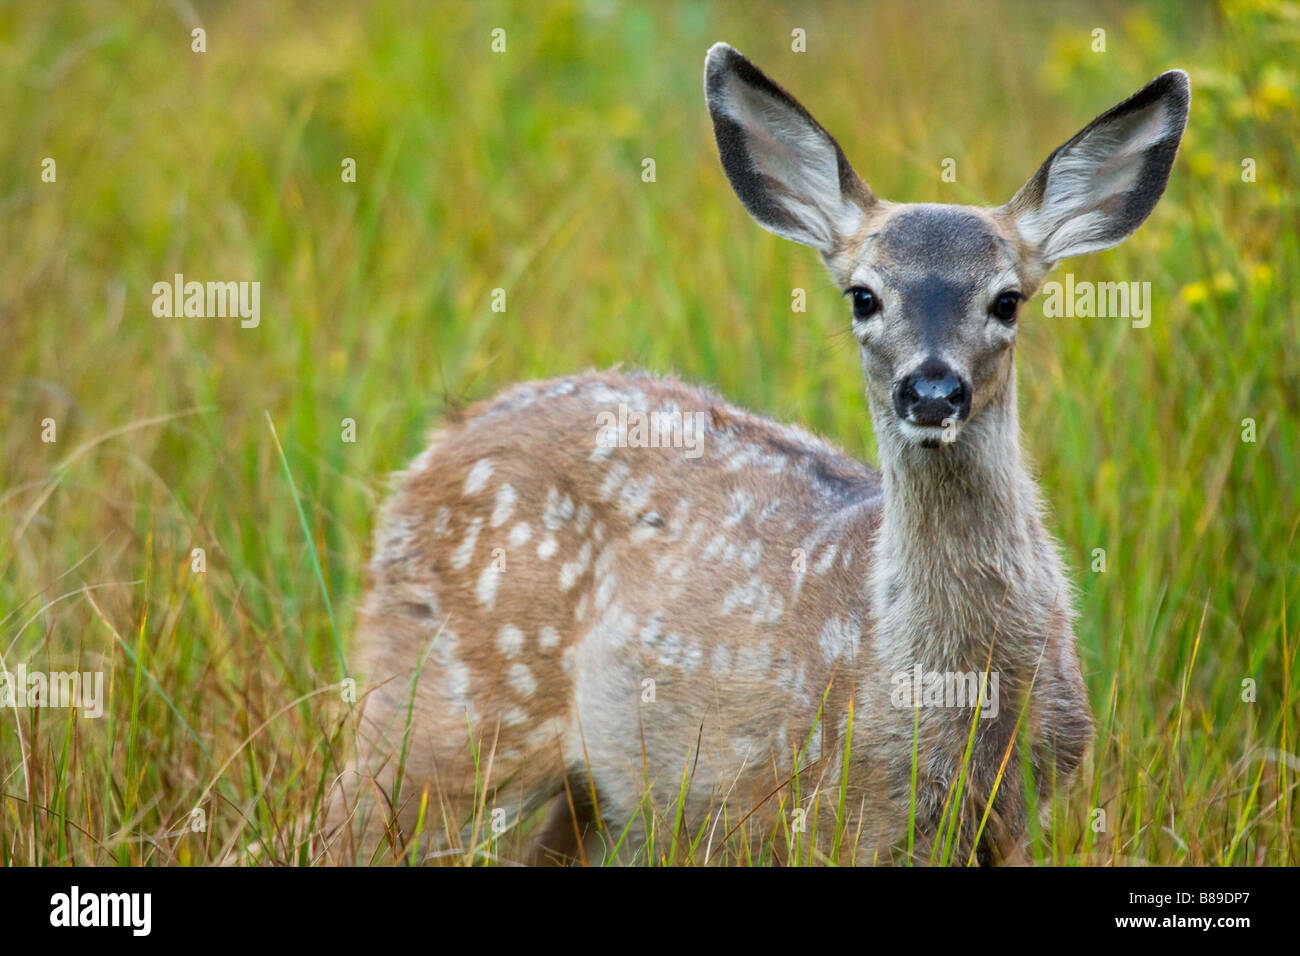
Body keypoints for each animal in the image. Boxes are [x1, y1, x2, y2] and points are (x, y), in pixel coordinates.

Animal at [323, 43, 1188, 866]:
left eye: (1007, 300)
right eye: (864, 296)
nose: (932, 390)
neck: (958, 694)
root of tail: (434, 449)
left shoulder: (1017, 808)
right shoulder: (833, 805)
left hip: (594, 790)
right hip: (446, 702)